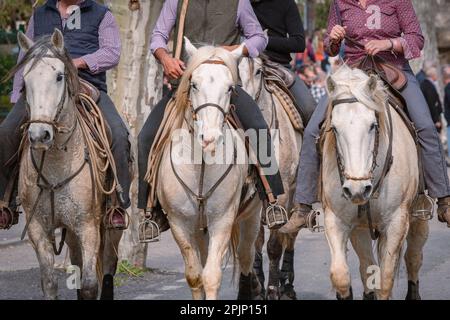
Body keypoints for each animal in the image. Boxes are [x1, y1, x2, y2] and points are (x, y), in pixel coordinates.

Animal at [239, 57, 302, 300]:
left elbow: (275, 245)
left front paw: (273, 289)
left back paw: (287, 284)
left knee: (291, 233)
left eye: (258, 71)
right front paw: (256, 285)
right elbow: (254, 241)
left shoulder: (282, 195)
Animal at [320, 65, 428, 300]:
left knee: (414, 257)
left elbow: (386, 280)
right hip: (360, 227)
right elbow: (341, 276)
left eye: (372, 125)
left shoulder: (397, 222)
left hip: (419, 215)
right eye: (334, 128)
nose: (357, 190)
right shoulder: (336, 219)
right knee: (366, 266)